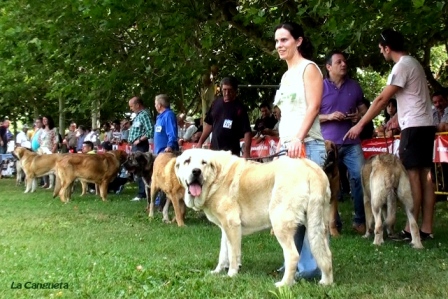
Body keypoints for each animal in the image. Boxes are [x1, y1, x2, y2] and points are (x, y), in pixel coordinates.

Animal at [175, 150, 332, 288]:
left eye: (204, 163)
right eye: (187, 161)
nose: (196, 171)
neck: (216, 177)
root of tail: (312, 169)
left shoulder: (232, 225)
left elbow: (233, 254)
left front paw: (231, 274)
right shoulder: (225, 228)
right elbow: (223, 253)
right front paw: (217, 272)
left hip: (280, 222)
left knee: (293, 255)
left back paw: (284, 284)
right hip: (317, 226)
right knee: (326, 254)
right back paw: (326, 282)